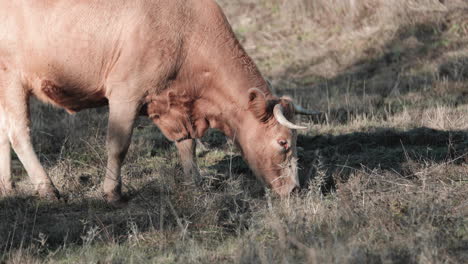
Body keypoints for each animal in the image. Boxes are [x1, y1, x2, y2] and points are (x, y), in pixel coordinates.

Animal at [0, 0, 318, 204]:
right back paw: (47, 189)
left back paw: (7, 187)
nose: (294, 190)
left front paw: (196, 184)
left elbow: (186, 145)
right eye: (283, 142)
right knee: (18, 133)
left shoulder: (176, 107)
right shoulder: (125, 92)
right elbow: (118, 145)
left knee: (3, 132)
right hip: (12, 78)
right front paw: (112, 192)